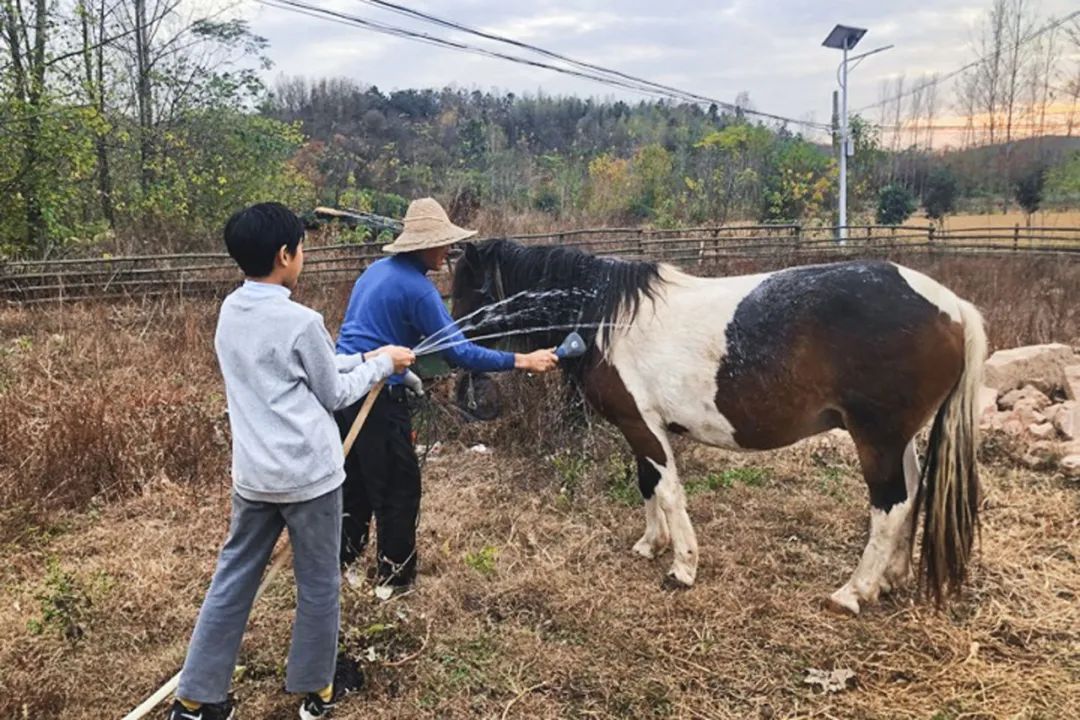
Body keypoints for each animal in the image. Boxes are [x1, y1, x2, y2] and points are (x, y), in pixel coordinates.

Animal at [447, 240, 989, 613]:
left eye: (474, 290)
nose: (452, 355)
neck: (610, 318)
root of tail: (952, 306)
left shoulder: (643, 426)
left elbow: (668, 492)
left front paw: (682, 566)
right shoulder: (639, 426)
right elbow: (648, 484)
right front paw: (651, 545)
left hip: (876, 439)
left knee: (890, 506)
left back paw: (853, 591)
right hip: (898, 439)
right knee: (913, 495)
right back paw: (891, 578)